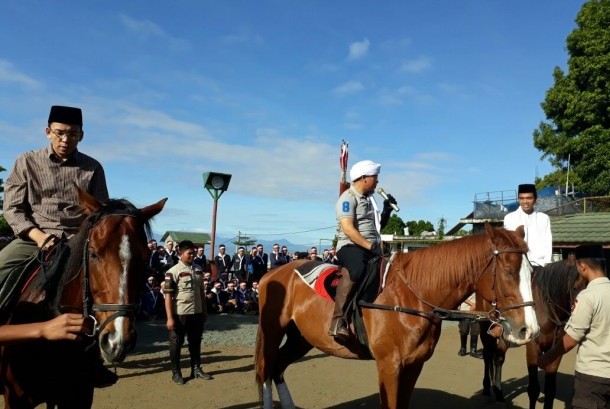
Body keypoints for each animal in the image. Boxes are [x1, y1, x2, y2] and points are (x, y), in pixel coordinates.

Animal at [252, 223, 536, 408]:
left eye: (531, 271)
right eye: (508, 271)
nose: (529, 330)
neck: (410, 296)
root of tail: (271, 274)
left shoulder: (414, 365)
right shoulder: (389, 365)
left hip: (301, 338)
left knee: (277, 368)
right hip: (272, 331)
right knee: (266, 370)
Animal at [478, 253, 580, 406]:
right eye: (575, 287)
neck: (547, 306)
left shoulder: (557, 349)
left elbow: (550, 390)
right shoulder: (533, 346)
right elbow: (533, 390)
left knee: (498, 358)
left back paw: (499, 394)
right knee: (488, 355)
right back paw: (486, 388)